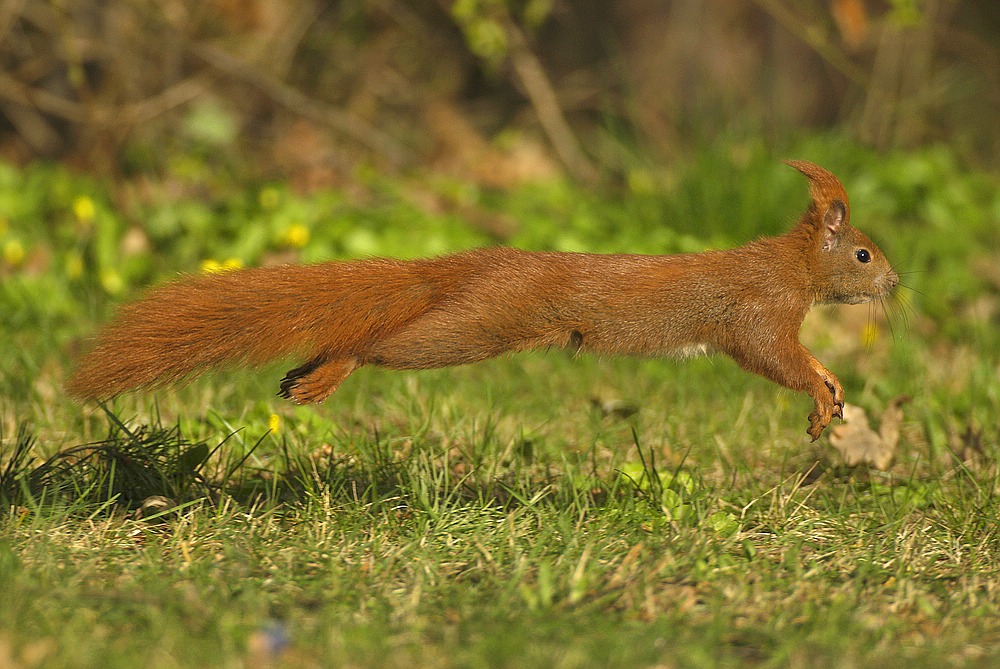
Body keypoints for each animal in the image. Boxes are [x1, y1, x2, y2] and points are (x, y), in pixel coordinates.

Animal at [67, 160, 898, 440]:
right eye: (863, 253)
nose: (895, 284)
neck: (792, 266)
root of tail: (469, 263)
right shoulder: (758, 312)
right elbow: (776, 357)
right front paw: (822, 391)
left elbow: (799, 358)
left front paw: (833, 388)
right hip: (474, 326)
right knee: (376, 344)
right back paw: (322, 375)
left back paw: (302, 375)